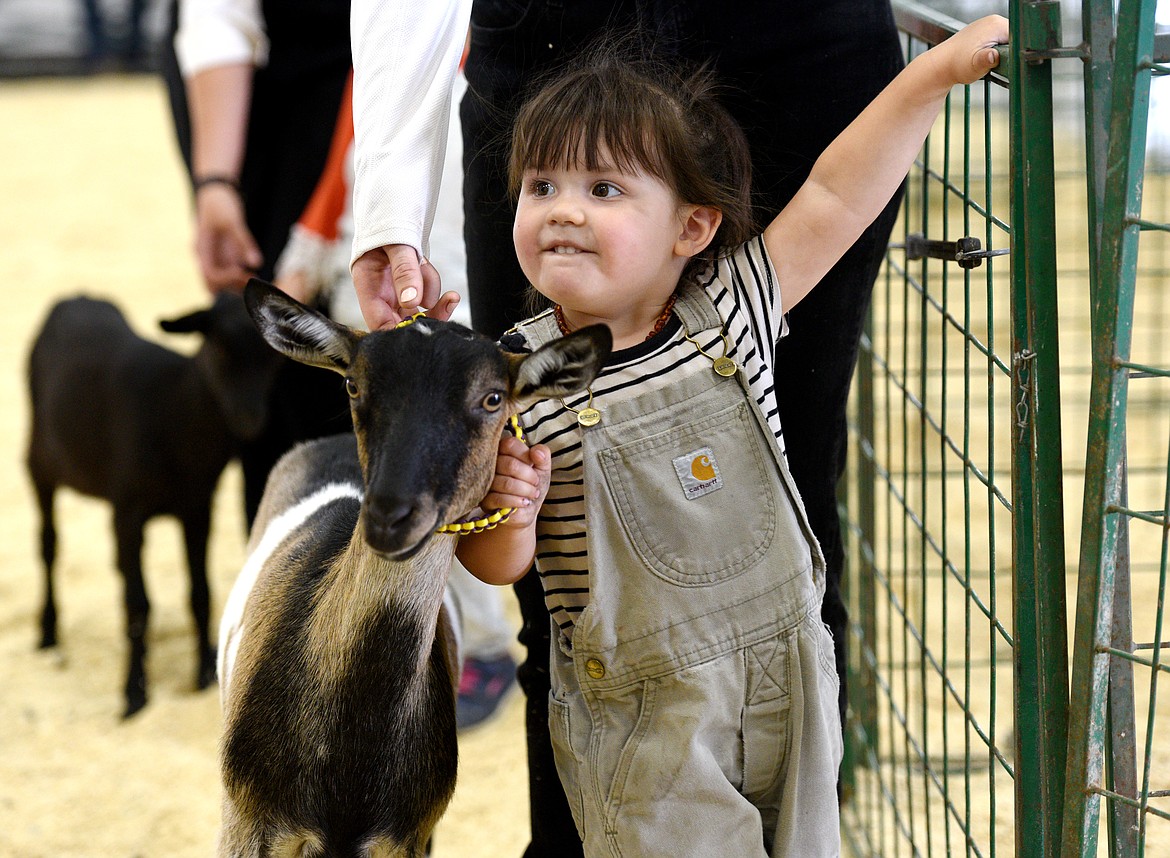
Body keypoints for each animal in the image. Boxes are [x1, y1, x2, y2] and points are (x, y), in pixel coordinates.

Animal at [27, 292, 276, 716]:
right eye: (217, 346)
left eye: (273, 357)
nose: (249, 419)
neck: (175, 411)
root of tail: (75, 297)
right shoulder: (128, 510)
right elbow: (138, 604)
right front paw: (134, 692)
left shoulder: (197, 507)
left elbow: (200, 592)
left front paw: (203, 672)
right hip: (38, 461)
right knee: (48, 546)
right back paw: (47, 633)